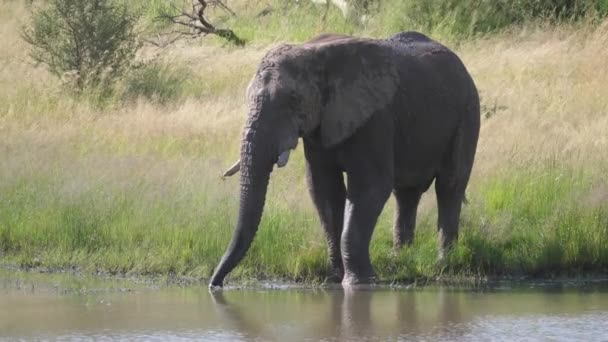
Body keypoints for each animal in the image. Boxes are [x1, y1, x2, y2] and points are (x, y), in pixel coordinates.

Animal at [210, 31, 480, 288]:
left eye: (295, 100)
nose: (216, 283)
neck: (313, 53)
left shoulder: (375, 118)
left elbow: (370, 188)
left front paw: (359, 282)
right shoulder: (319, 127)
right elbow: (324, 190)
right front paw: (334, 278)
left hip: (468, 112)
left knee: (449, 186)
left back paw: (444, 264)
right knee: (406, 195)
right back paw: (401, 260)